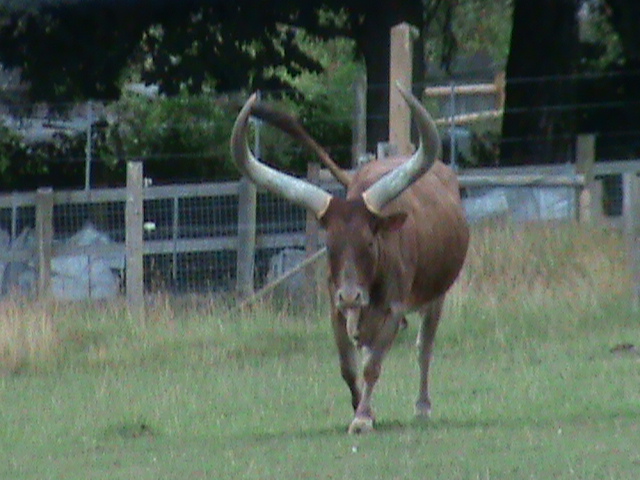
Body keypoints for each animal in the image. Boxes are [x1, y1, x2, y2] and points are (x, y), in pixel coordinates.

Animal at [230, 84, 469, 434]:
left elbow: (373, 365)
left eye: (370, 242)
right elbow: (348, 366)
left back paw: (423, 406)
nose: (351, 295)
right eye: (329, 245)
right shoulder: (335, 309)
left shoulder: (394, 308)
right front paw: (360, 407)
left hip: (436, 294)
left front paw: (363, 417)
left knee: (424, 347)